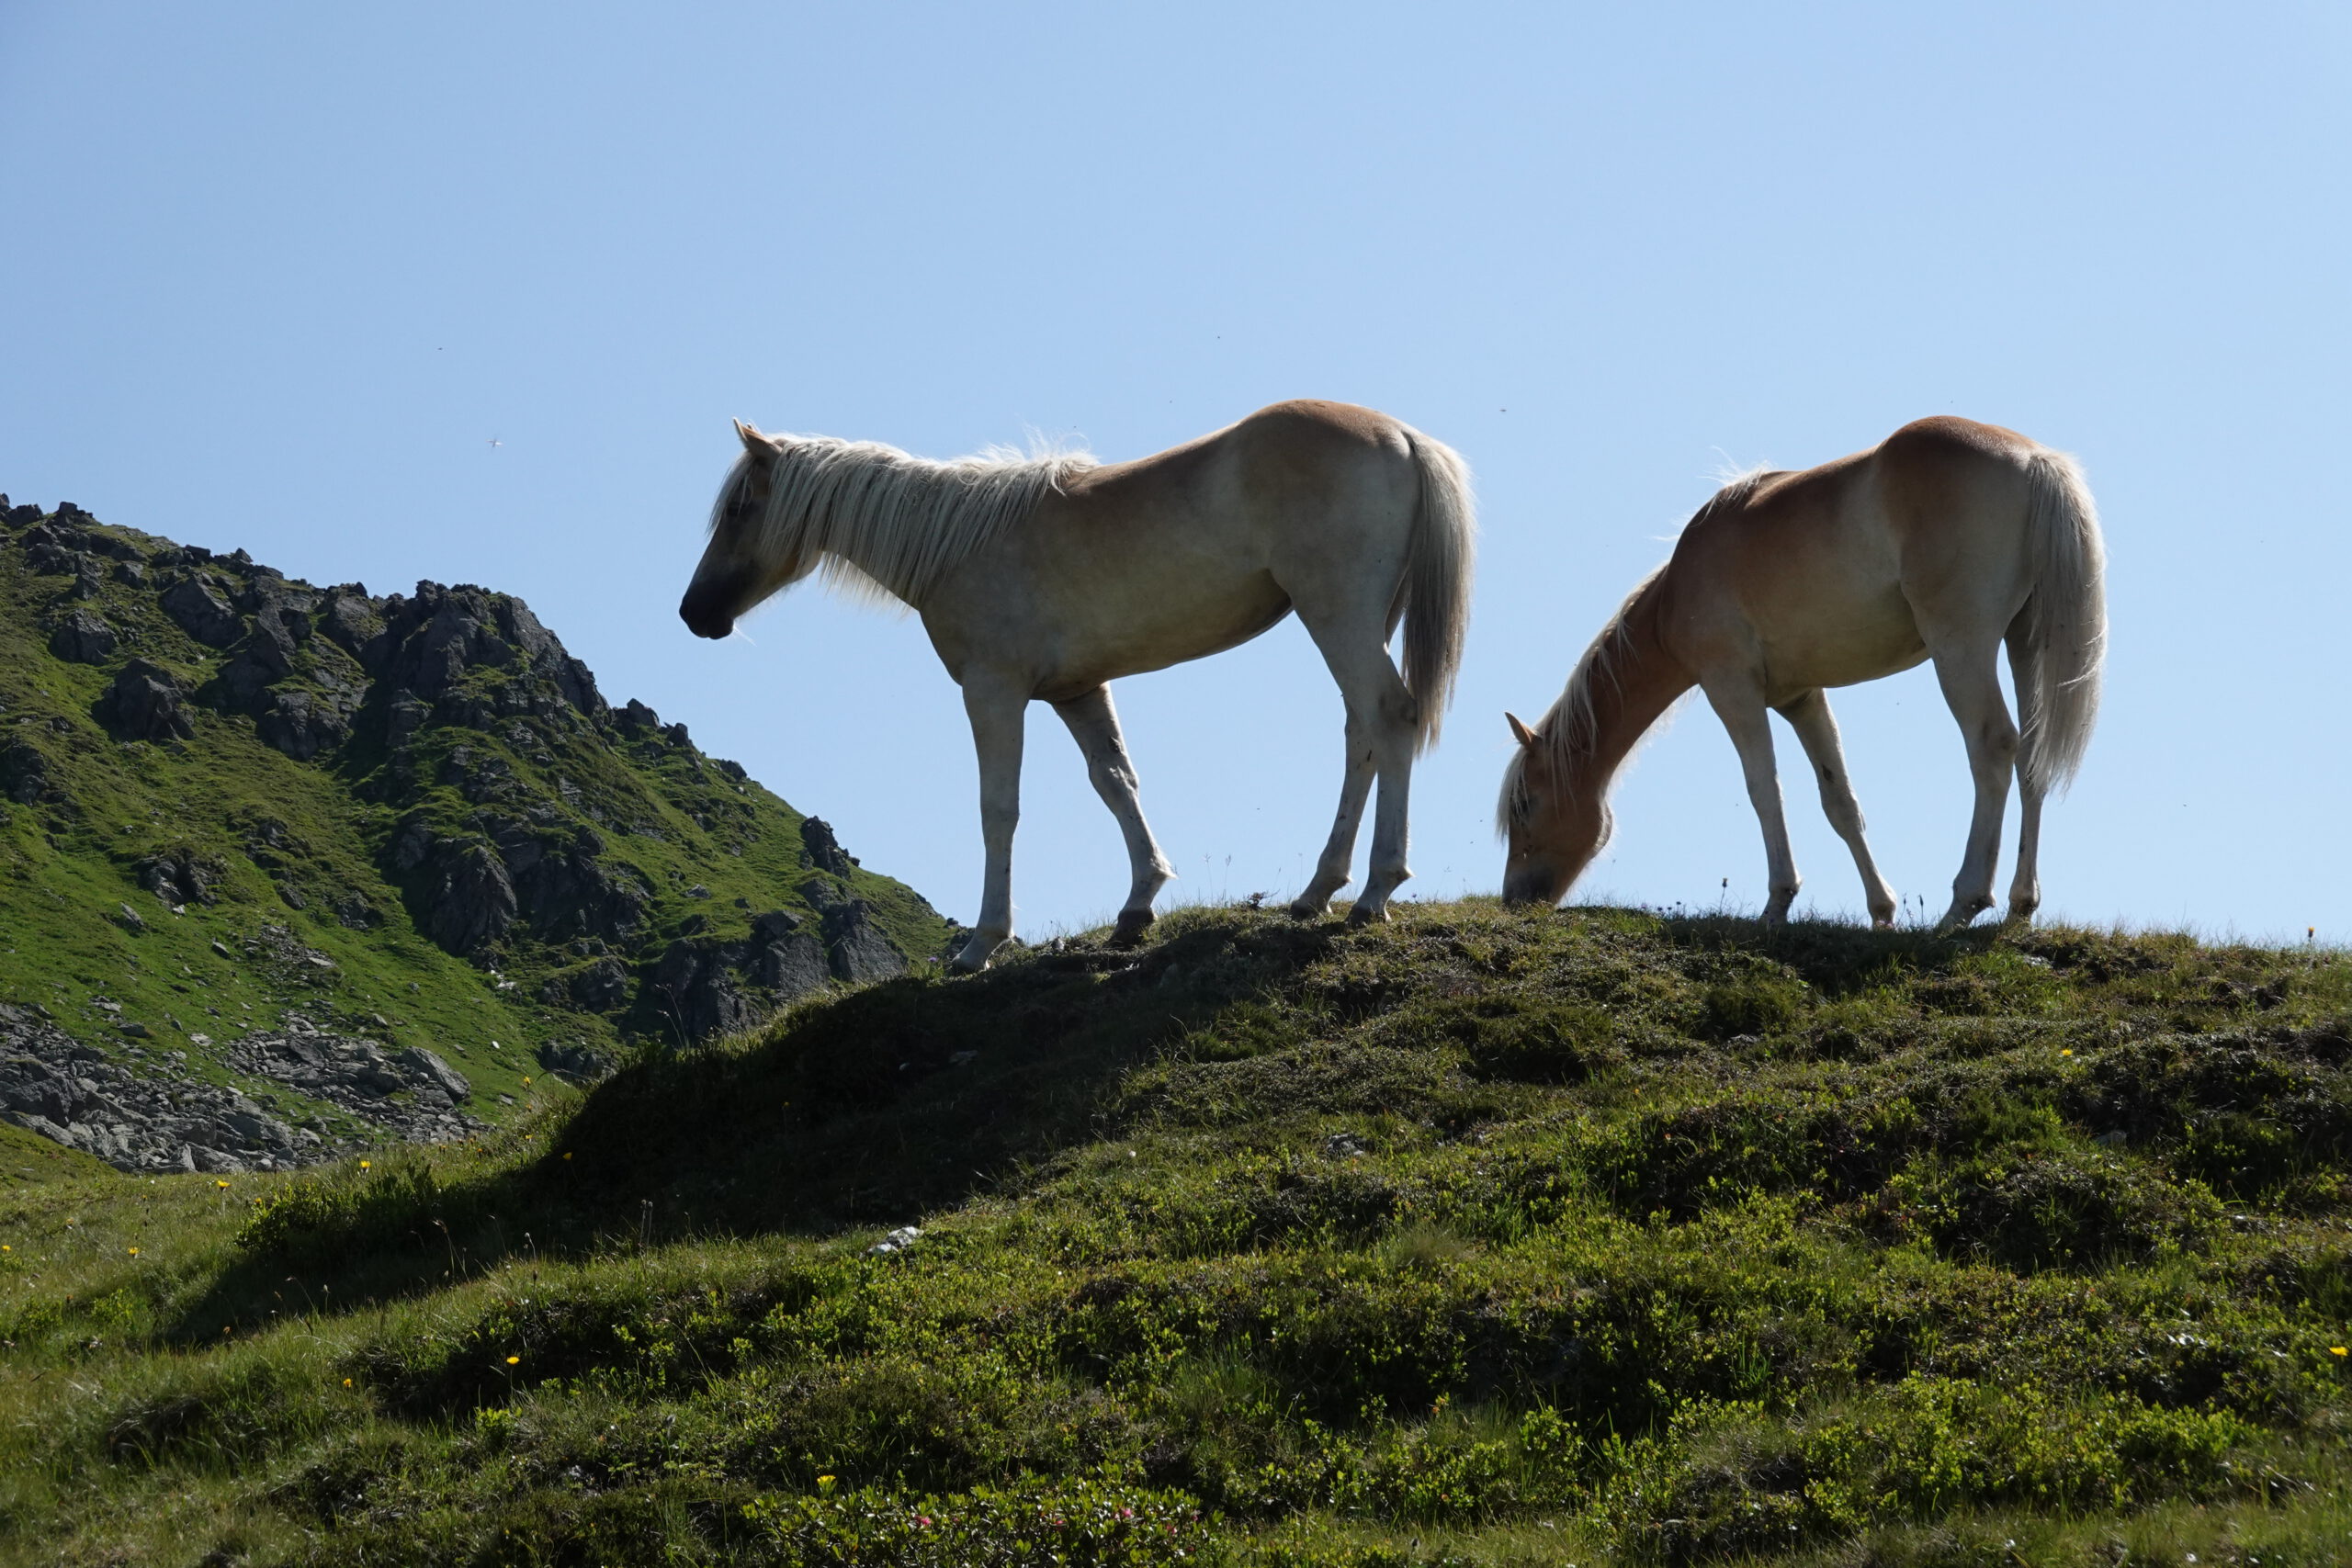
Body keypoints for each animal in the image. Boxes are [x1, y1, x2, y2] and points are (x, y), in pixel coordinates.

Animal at [682, 400, 1476, 973]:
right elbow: (1116, 781)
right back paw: (1317, 891)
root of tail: (1402, 436)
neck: (954, 541)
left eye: (739, 509)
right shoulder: (1077, 691)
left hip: (1337, 613)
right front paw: (1138, 904)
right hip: (1354, 620)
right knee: (1361, 733)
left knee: (1389, 716)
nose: (695, 612)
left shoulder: (994, 691)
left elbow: (998, 809)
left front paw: (983, 942)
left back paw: (1374, 889)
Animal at [1505, 415, 2117, 931]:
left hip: (1961, 648)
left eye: (1526, 804)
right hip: (2024, 643)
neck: (1680, 588)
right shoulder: (1801, 698)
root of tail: (2034, 461)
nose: (1515, 901)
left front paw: (1778, 903)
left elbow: (1764, 789)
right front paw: (1881, 910)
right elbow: (1840, 801)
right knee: (2031, 756)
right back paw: (2019, 904)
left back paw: (1963, 903)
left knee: (1991, 747)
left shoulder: (1732, 689)